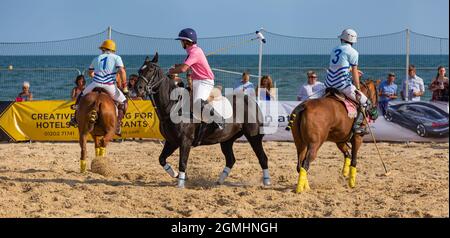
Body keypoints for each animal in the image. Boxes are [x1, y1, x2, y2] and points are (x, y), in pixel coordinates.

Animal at [134, 53, 270, 189]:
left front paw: (180, 183)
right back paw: (219, 181)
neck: (173, 106)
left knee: (262, 158)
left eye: (151, 69)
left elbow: (182, 162)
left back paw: (267, 182)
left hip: (253, 137)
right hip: (226, 139)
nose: (138, 89)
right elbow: (161, 159)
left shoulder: (185, 141)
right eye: (140, 70)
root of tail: (252, 101)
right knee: (231, 160)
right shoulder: (171, 141)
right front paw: (176, 175)